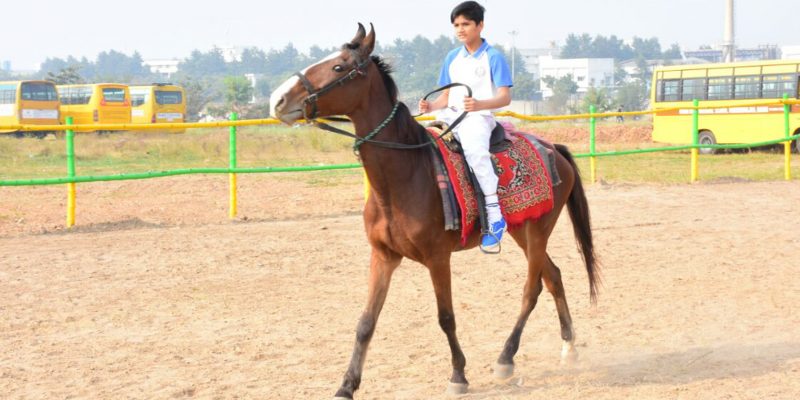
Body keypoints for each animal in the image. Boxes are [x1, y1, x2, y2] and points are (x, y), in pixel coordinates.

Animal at [270, 23, 599, 399]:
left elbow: (446, 317)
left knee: (532, 290)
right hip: (523, 233)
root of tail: (553, 148)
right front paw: (346, 385)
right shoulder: (383, 256)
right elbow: (366, 322)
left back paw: (506, 358)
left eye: (339, 67)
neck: (406, 174)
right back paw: (569, 348)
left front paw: (458, 375)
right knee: (554, 276)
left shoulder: (438, 258)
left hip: (537, 233)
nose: (278, 100)